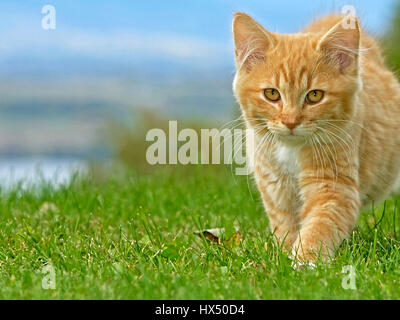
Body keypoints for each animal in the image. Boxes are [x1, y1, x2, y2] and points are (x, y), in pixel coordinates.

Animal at [231, 13, 400, 262]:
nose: (290, 121)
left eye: (314, 96)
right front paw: (284, 254)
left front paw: (305, 260)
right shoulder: (275, 185)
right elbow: (284, 223)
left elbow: (320, 225)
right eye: (271, 94)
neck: (291, 150)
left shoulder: (334, 187)